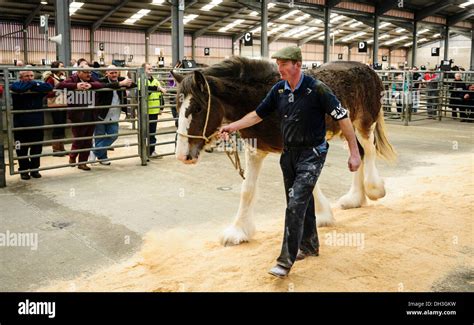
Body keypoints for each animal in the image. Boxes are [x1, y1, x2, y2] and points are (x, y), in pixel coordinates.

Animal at [171, 57, 396, 246]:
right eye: (178, 106)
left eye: (198, 108)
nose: (182, 156)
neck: (258, 96)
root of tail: (369, 69)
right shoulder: (255, 150)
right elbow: (247, 190)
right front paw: (238, 231)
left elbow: (306, 182)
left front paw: (323, 216)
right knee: (358, 154)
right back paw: (355, 199)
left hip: (364, 124)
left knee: (369, 151)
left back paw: (375, 190)